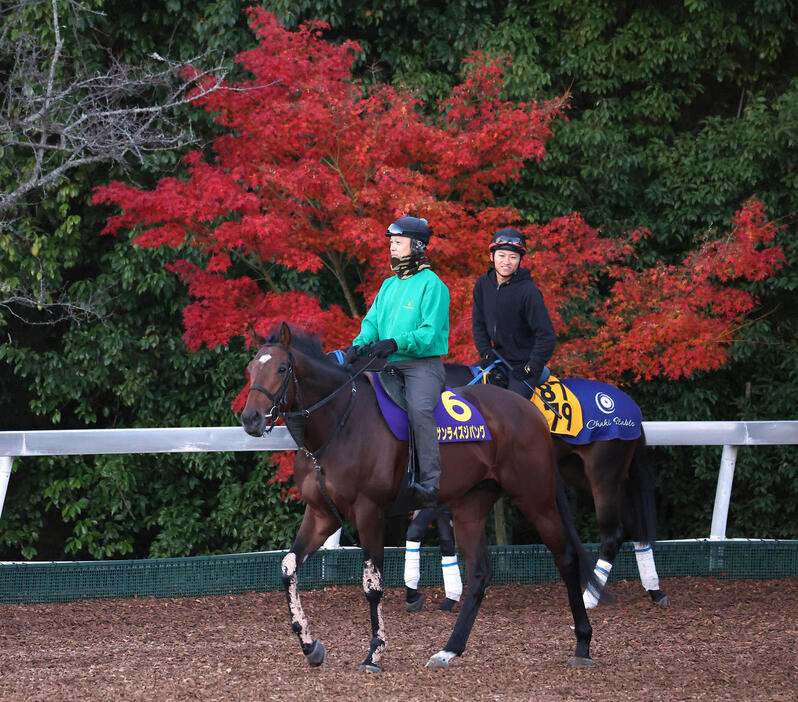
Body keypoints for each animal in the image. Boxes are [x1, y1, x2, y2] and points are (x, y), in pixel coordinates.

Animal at [241, 328, 604, 672]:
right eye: (250, 369)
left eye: (282, 368)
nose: (250, 418)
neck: (339, 423)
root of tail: (530, 410)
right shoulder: (321, 514)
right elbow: (288, 567)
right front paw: (310, 645)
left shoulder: (369, 512)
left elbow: (372, 585)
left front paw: (374, 653)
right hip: (470, 506)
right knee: (480, 573)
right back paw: (449, 650)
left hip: (535, 497)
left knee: (566, 557)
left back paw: (582, 643)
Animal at [446, 364, 672, 612]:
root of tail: (631, 407)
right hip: (578, 471)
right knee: (633, 524)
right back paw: (654, 590)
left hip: (604, 475)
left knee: (613, 534)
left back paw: (590, 597)